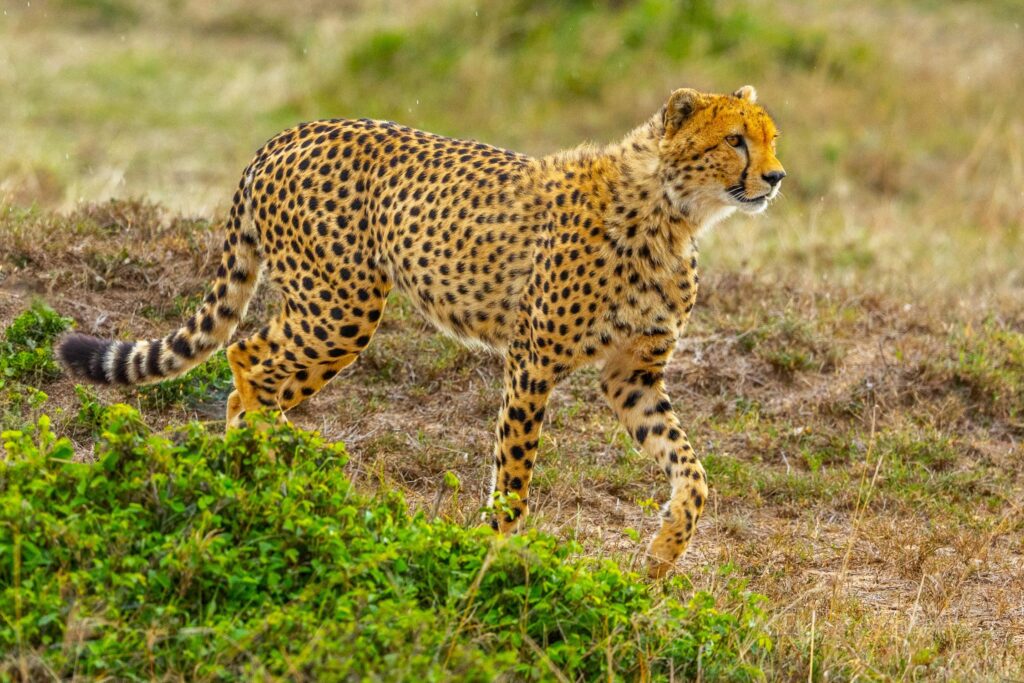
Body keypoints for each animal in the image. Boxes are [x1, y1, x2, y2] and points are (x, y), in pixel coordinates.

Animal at [57, 85, 785, 577]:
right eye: (735, 140)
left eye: (770, 137)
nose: (776, 177)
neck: (673, 214)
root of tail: (293, 131)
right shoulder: (532, 364)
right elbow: (514, 472)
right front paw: (495, 556)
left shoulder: (632, 376)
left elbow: (692, 471)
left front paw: (663, 553)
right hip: (342, 305)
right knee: (248, 355)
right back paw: (265, 472)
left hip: (331, 306)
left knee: (249, 367)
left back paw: (265, 470)